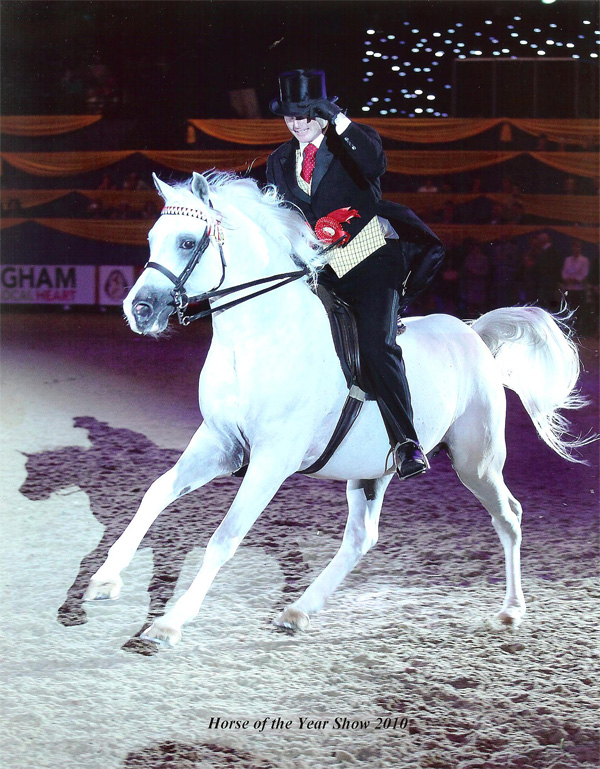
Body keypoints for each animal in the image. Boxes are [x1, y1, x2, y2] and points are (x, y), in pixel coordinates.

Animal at [82, 171, 588, 644]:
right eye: (152, 239)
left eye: (187, 242)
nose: (138, 310)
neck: (259, 339)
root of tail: (473, 334)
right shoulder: (220, 443)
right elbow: (156, 493)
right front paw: (105, 579)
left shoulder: (271, 460)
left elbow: (225, 536)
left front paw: (171, 623)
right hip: (372, 470)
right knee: (362, 538)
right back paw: (297, 611)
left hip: (475, 461)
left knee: (509, 517)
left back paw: (512, 611)